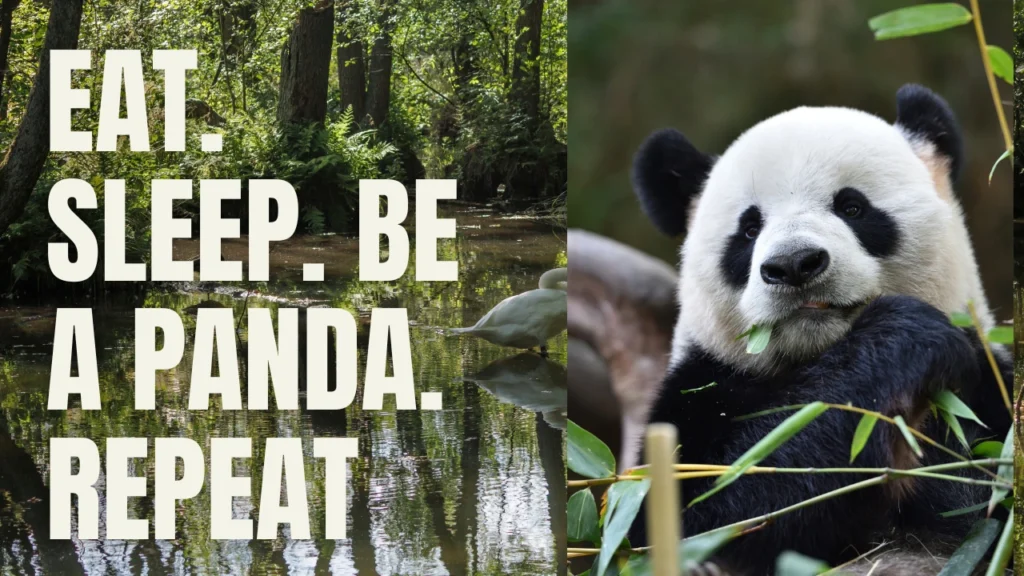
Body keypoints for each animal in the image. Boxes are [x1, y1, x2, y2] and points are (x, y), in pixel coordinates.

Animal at [626, 84, 1012, 575]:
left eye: (852, 206)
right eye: (748, 229)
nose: (794, 264)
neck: (820, 356)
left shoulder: (989, 387)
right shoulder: (697, 396)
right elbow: (719, 509)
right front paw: (906, 337)